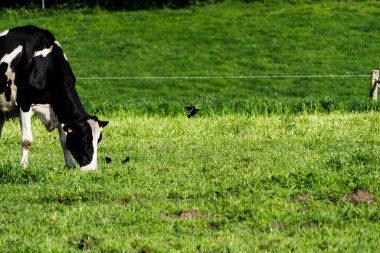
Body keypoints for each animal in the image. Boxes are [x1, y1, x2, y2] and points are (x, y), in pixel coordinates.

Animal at [0, 25, 107, 171]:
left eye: (99, 139)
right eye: (84, 138)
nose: (91, 169)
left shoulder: (61, 112)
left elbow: (64, 141)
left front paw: (70, 165)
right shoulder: (25, 104)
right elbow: (27, 140)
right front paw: (23, 165)